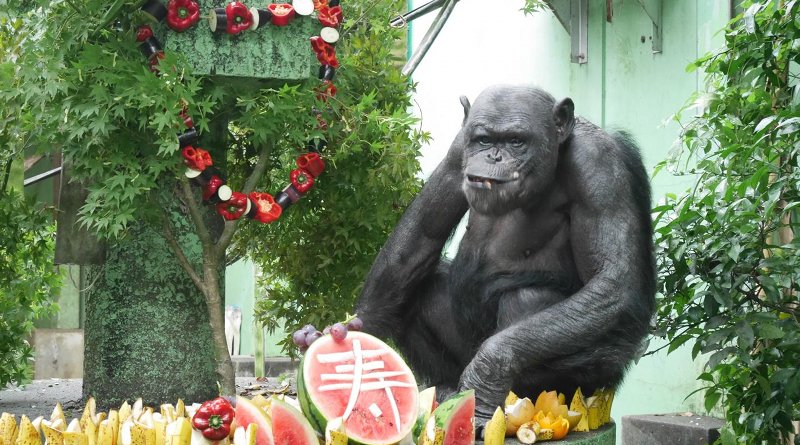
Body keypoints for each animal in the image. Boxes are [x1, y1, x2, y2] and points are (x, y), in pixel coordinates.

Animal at [356, 84, 656, 426]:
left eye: (516, 141)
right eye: (484, 140)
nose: (493, 156)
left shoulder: (598, 166)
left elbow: (610, 279)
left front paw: (487, 374)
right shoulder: (458, 149)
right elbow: (421, 234)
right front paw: (357, 336)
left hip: (594, 375)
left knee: (529, 298)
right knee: (419, 288)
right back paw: (442, 388)